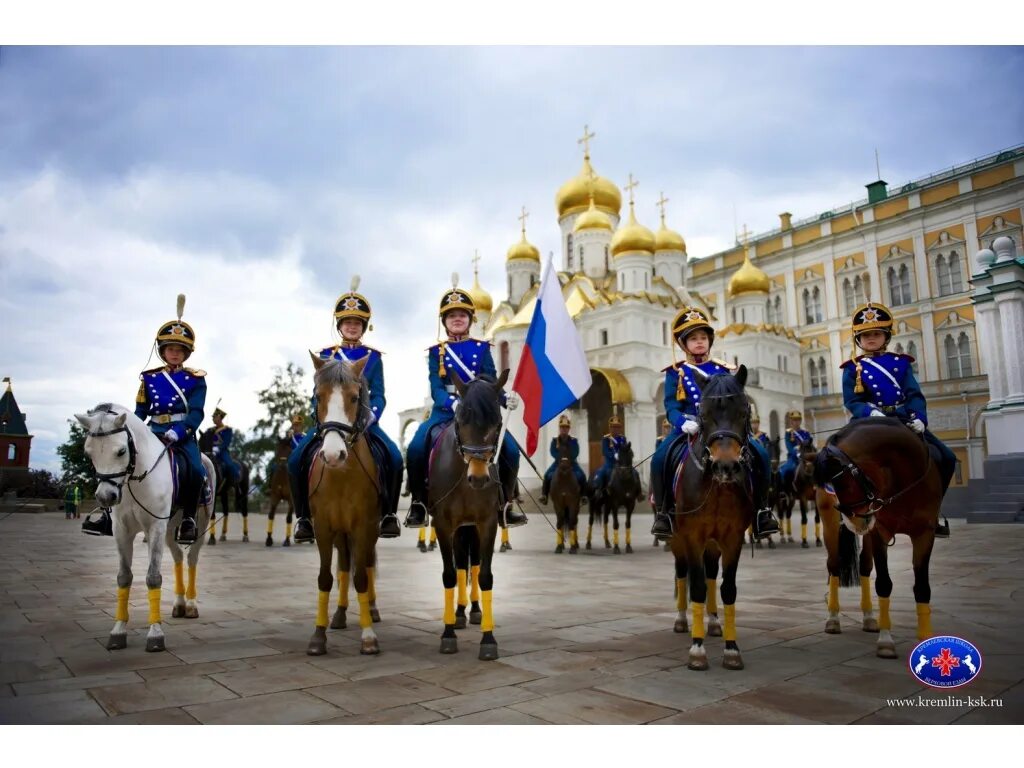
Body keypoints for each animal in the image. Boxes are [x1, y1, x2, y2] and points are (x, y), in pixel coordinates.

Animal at [76, 405, 216, 651]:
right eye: (88, 454)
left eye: (121, 451)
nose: (106, 497)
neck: (135, 478)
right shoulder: (122, 531)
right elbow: (124, 577)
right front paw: (118, 631)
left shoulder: (155, 528)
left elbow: (153, 577)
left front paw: (155, 634)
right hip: (169, 528)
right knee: (178, 558)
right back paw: (179, 604)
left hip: (199, 523)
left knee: (192, 559)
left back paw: (190, 604)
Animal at [303, 358, 385, 659]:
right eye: (318, 396)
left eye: (354, 397)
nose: (332, 455)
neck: (341, 476)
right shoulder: (323, 528)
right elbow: (326, 578)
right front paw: (318, 636)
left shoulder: (364, 526)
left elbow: (361, 577)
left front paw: (369, 636)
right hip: (340, 534)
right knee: (343, 566)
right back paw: (338, 615)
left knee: (367, 564)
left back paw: (371, 609)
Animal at [428, 370, 512, 659]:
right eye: (461, 420)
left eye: (497, 423)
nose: (478, 479)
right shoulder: (443, 524)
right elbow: (450, 574)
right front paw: (448, 634)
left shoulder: (487, 523)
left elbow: (484, 574)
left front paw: (488, 639)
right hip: (459, 528)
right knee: (461, 565)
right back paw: (460, 613)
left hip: (471, 527)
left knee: (472, 564)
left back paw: (474, 610)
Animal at [667, 364, 757, 671]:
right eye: (703, 414)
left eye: (744, 411)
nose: (725, 466)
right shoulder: (692, 536)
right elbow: (695, 586)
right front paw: (697, 650)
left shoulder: (732, 539)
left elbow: (727, 587)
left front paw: (731, 649)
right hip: (677, 541)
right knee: (682, 574)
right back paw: (682, 620)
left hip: (713, 544)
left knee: (710, 575)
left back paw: (715, 623)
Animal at [815, 417, 942, 659]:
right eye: (832, 486)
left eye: (844, 482)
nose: (854, 522)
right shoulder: (879, 532)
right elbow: (884, 583)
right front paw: (886, 641)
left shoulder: (925, 533)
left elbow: (922, 586)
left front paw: (925, 638)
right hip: (830, 526)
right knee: (834, 565)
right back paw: (833, 618)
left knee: (864, 566)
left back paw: (869, 617)